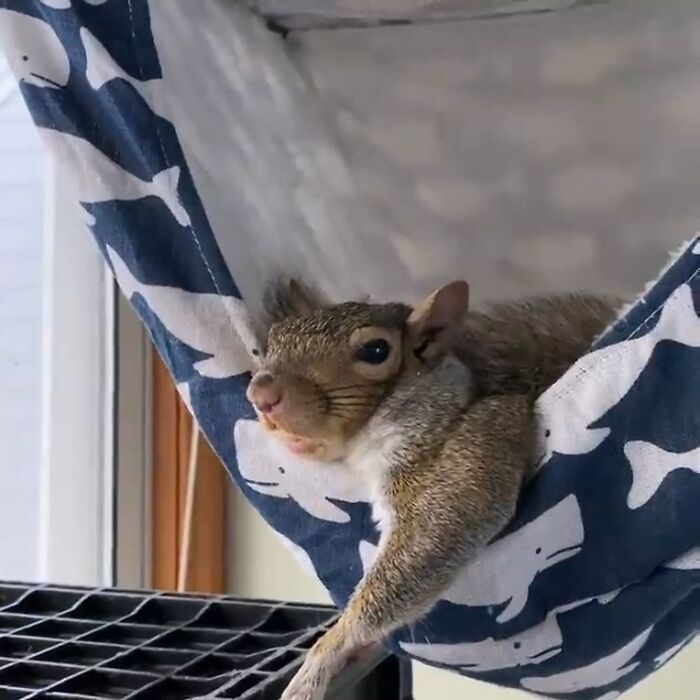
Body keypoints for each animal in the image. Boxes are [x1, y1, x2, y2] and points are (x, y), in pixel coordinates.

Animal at [245, 278, 618, 700]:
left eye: (376, 350)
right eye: (273, 339)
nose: (262, 396)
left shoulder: (472, 452)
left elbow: (429, 541)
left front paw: (322, 658)